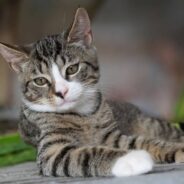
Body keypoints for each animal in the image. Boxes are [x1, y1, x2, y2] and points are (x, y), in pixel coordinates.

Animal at [0, 7, 184, 178]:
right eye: (40, 81)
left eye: (72, 69)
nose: (61, 92)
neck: (83, 117)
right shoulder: (51, 151)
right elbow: (87, 153)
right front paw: (131, 159)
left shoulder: (111, 136)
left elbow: (143, 142)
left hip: (150, 124)